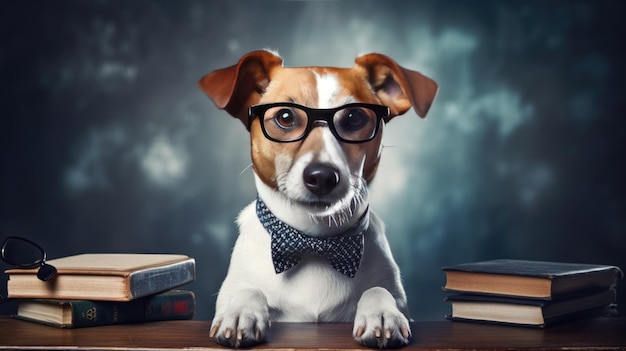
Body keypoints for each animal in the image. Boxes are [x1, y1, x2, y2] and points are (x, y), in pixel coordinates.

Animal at [197, 50, 436, 350]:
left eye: (355, 117)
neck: (316, 241)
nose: (322, 176)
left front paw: (382, 314)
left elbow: (378, 289)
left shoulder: (394, 294)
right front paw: (240, 311)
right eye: (285, 116)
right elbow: (248, 290)